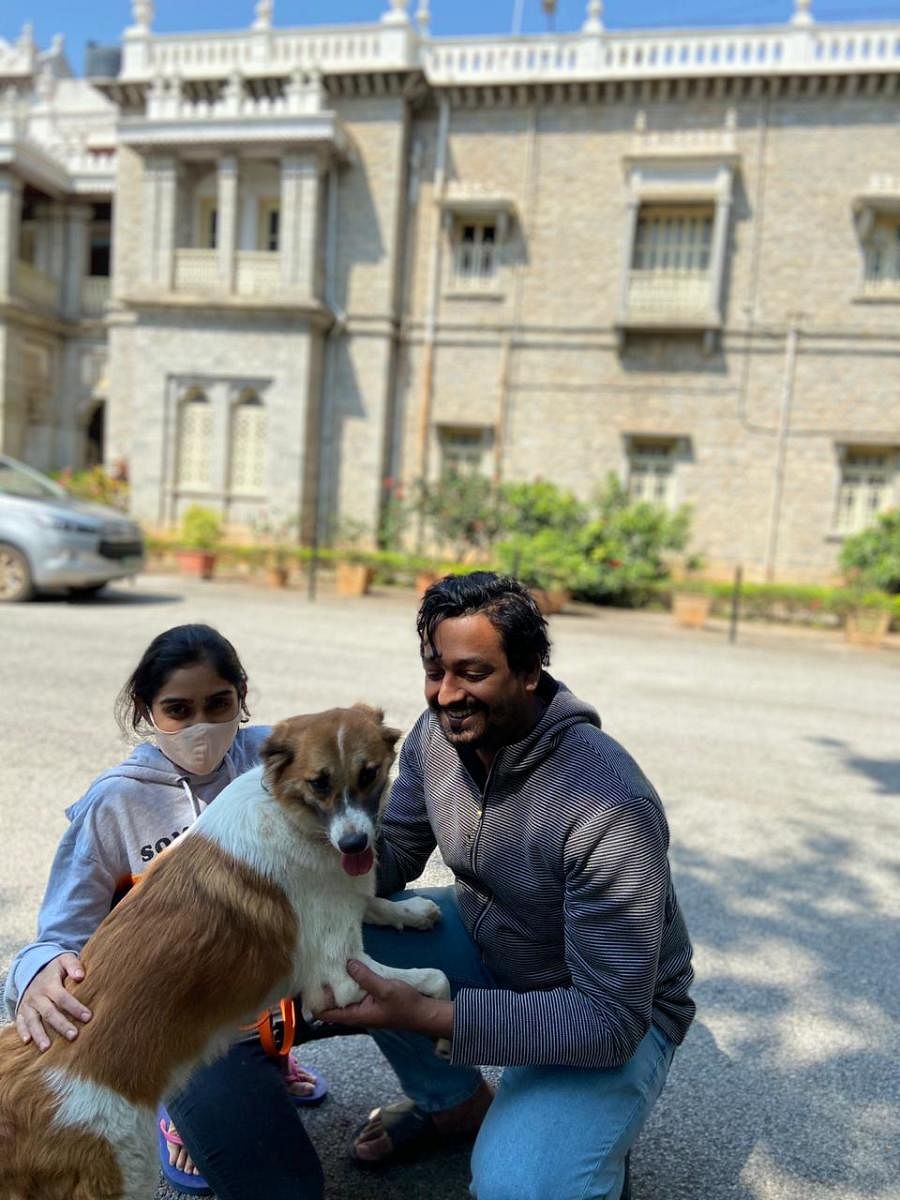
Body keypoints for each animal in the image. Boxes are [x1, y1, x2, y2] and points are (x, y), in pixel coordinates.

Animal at [0, 705, 451, 1200]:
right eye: (319, 783)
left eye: (368, 774)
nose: (354, 844)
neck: (291, 818)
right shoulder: (341, 979)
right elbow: (436, 978)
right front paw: (442, 1031)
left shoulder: (342, 896)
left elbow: (372, 900)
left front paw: (411, 911)